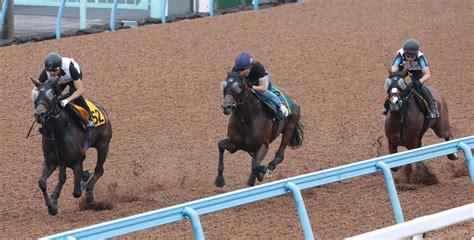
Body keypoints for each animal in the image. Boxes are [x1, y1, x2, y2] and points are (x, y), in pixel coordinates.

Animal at [32, 79, 113, 216]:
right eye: (35, 94)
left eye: (52, 94)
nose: (40, 114)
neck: (56, 134)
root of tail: (101, 108)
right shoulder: (51, 162)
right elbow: (42, 183)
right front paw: (52, 206)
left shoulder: (77, 162)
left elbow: (77, 192)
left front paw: (84, 181)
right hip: (62, 161)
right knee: (62, 178)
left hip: (103, 145)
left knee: (99, 170)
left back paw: (89, 194)